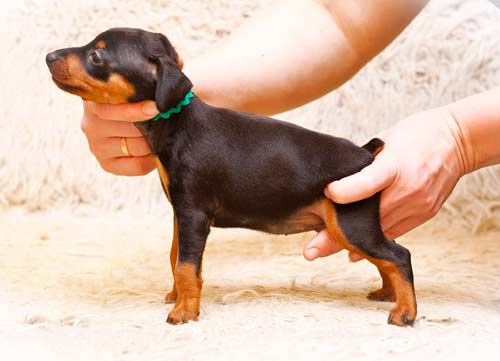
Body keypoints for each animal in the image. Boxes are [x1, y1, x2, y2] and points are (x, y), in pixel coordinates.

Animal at [46, 28, 418, 326]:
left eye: (96, 55)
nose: (49, 56)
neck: (177, 122)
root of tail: (365, 154)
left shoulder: (194, 214)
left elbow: (186, 266)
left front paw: (184, 312)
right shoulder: (182, 213)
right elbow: (176, 257)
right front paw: (176, 296)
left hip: (350, 221)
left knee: (398, 255)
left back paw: (405, 312)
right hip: (356, 225)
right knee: (387, 256)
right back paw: (387, 294)